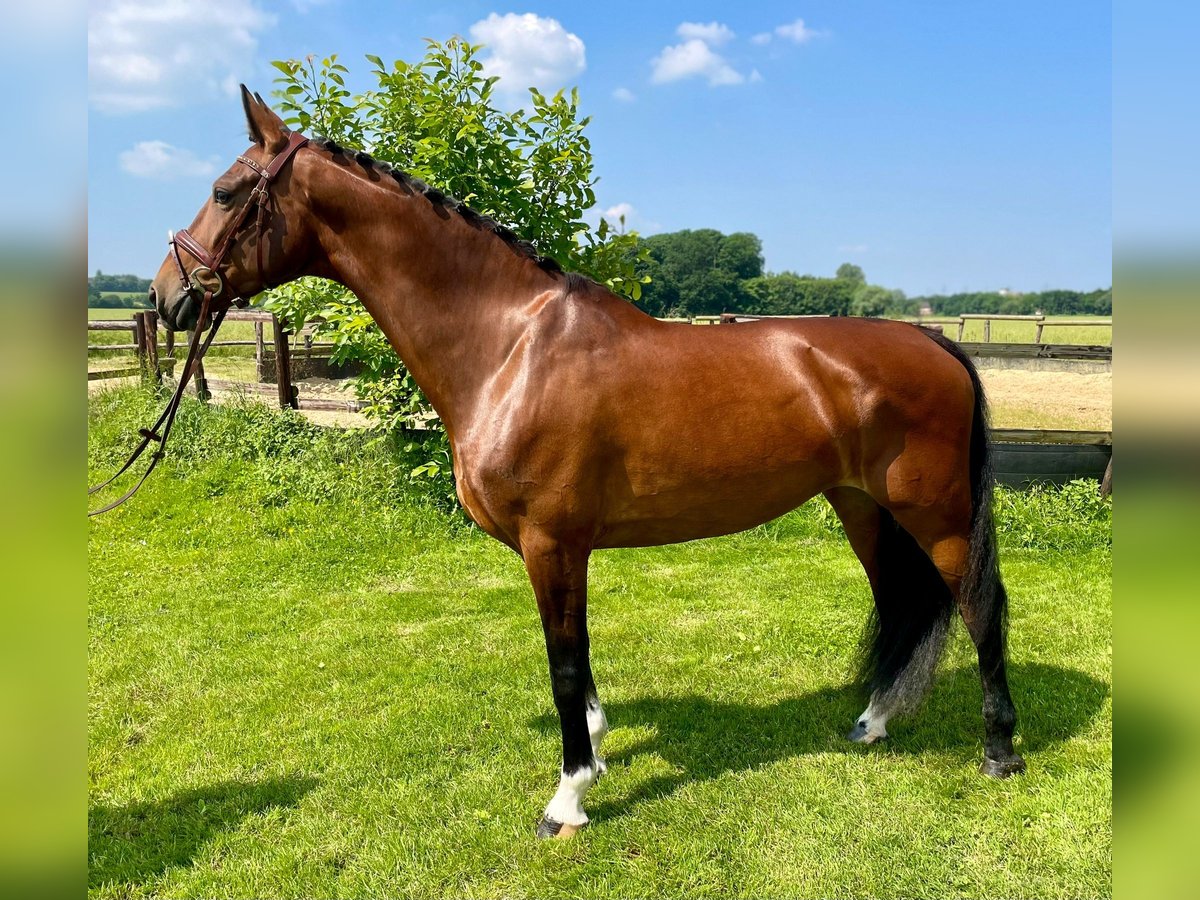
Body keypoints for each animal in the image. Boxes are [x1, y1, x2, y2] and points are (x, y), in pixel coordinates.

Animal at [142, 88, 1022, 844]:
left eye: (226, 192)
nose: (164, 298)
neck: (510, 345)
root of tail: (935, 341)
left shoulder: (552, 542)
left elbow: (563, 665)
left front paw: (567, 797)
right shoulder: (564, 549)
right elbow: (582, 660)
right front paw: (595, 749)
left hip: (936, 513)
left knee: (979, 605)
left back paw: (1000, 751)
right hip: (861, 506)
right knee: (903, 602)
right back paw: (874, 722)